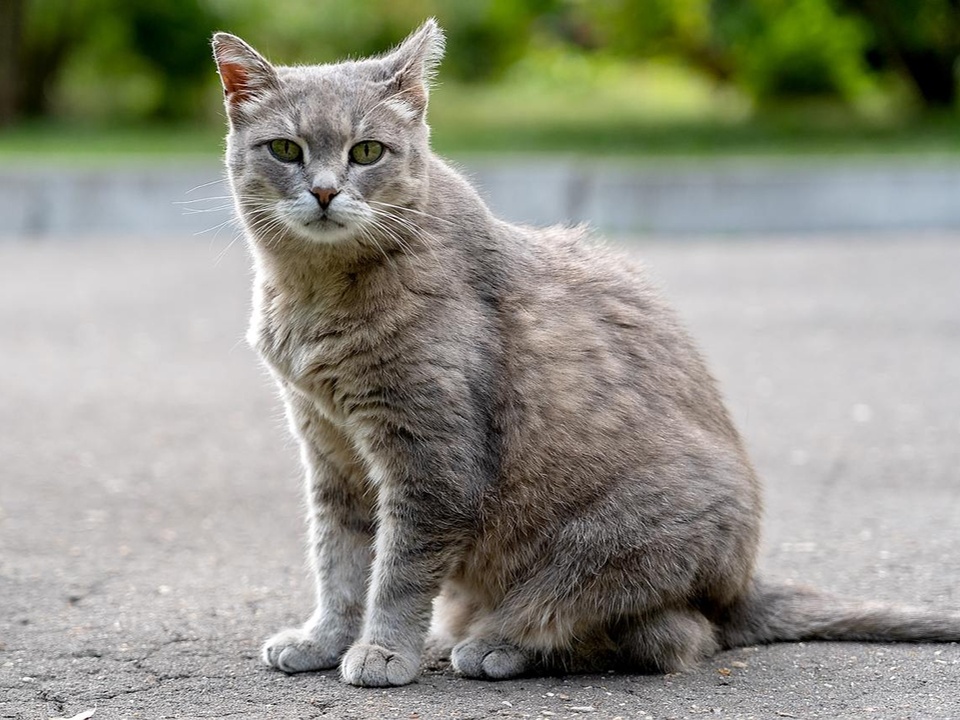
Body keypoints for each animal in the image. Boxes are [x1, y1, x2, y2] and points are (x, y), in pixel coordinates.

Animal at [212, 21, 960, 688]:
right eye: (285, 149)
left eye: (368, 152)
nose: (325, 190)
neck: (314, 296)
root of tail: (745, 587)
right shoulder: (330, 450)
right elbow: (338, 563)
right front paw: (323, 640)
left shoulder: (431, 461)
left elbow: (397, 571)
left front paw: (382, 652)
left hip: (613, 543)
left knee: (667, 635)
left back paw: (500, 645)